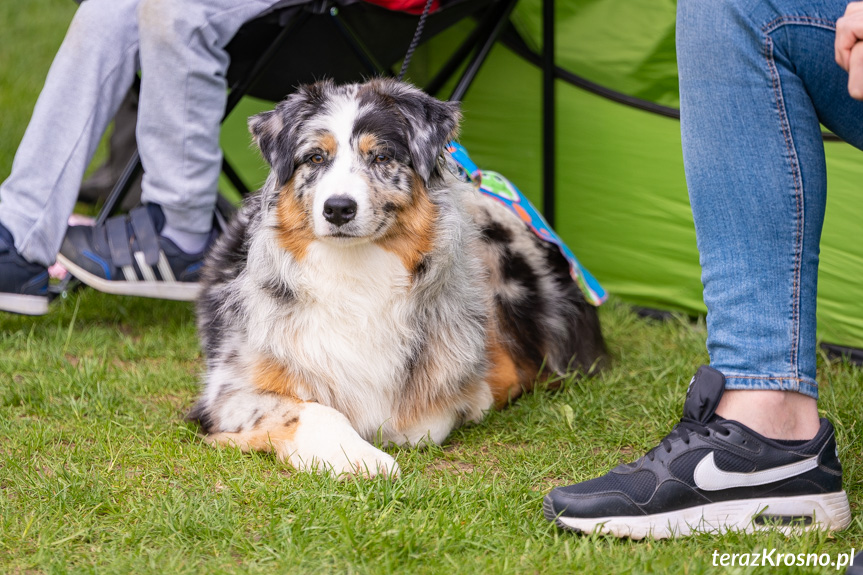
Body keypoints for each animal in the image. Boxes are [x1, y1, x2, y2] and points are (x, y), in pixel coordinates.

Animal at [191, 79, 608, 480]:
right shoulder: (228, 390)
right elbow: (313, 409)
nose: (338, 209)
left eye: (381, 156)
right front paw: (357, 457)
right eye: (315, 158)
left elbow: (427, 420)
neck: (355, 274)